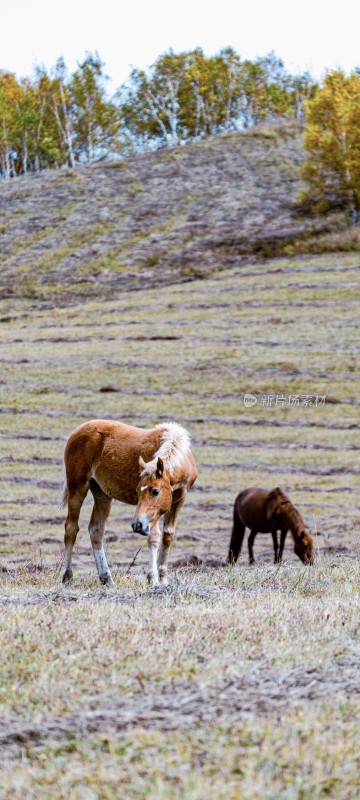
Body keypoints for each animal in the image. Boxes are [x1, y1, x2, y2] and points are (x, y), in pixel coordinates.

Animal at [61, 418, 197, 588]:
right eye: (137, 491)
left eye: (155, 491)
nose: (137, 525)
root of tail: (76, 432)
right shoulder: (153, 515)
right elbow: (154, 536)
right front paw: (153, 579)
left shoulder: (179, 498)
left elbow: (167, 535)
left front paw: (164, 579)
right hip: (77, 488)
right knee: (71, 528)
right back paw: (67, 576)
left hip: (102, 494)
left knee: (96, 530)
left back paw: (107, 578)